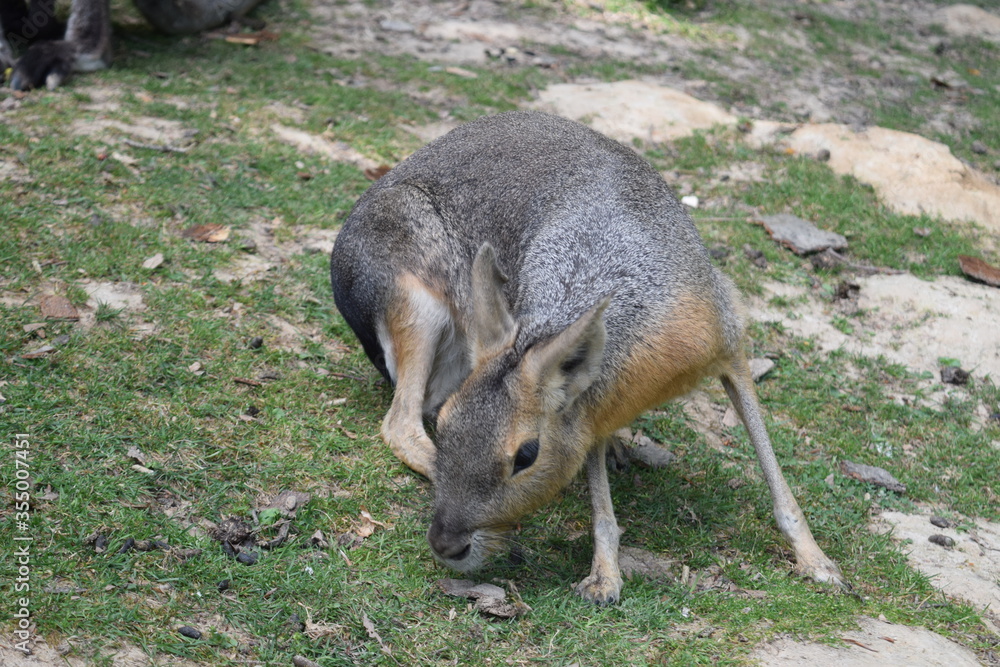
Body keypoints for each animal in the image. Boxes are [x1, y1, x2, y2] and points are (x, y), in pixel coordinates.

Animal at [329, 110, 844, 604]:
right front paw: (604, 578)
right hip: (416, 305)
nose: (445, 544)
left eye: (526, 455)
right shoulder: (589, 408)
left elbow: (774, 473)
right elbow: (600, 505)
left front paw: (817, 561)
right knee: (402, 421)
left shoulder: (726, 344)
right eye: (448, 425)